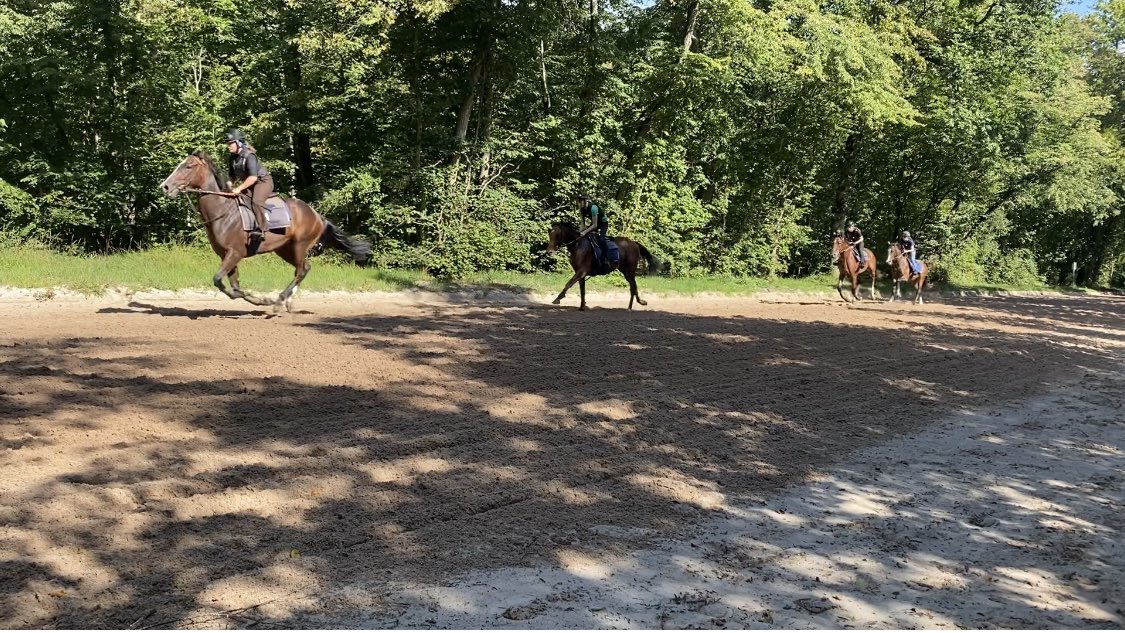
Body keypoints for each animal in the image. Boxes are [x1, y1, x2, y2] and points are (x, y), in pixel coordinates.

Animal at [157, 154, 369, 312]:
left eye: (188, 166)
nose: (165, 186)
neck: (222, 210)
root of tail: (317, 215)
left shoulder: (235, 253)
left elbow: (219, 280)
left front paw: (265, 301)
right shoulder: (226, 255)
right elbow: (233, 288)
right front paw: (259, 300)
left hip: (300, 245)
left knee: (302, 269)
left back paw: (280, 301)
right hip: (284, 249)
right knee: (303, 268)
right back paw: (288, 302)